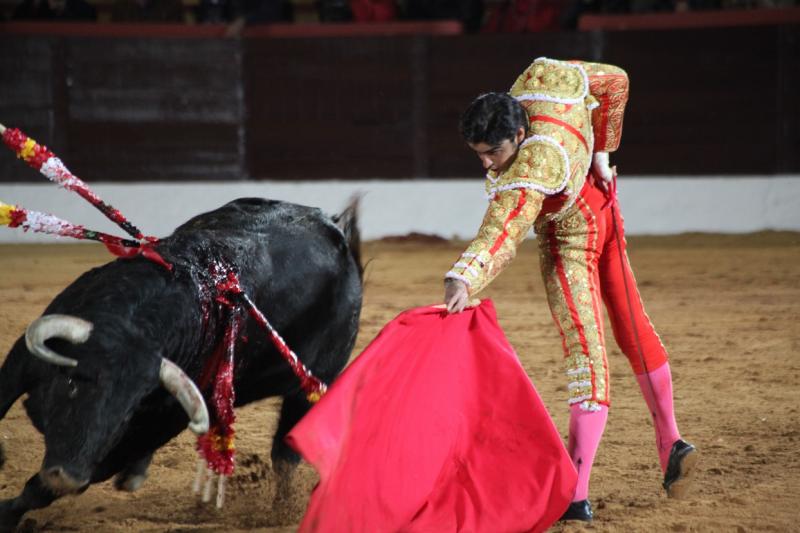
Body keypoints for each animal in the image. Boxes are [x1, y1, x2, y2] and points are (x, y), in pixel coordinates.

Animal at [0, 197, 360, 528]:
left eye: (127, 412)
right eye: (72, 382)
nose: (68, 476)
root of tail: (333, 228)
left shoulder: (161, 421)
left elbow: (45, 487)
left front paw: (10, 513)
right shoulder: (23, 357)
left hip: (308, 389)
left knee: (285, 455)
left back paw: (282, 513)